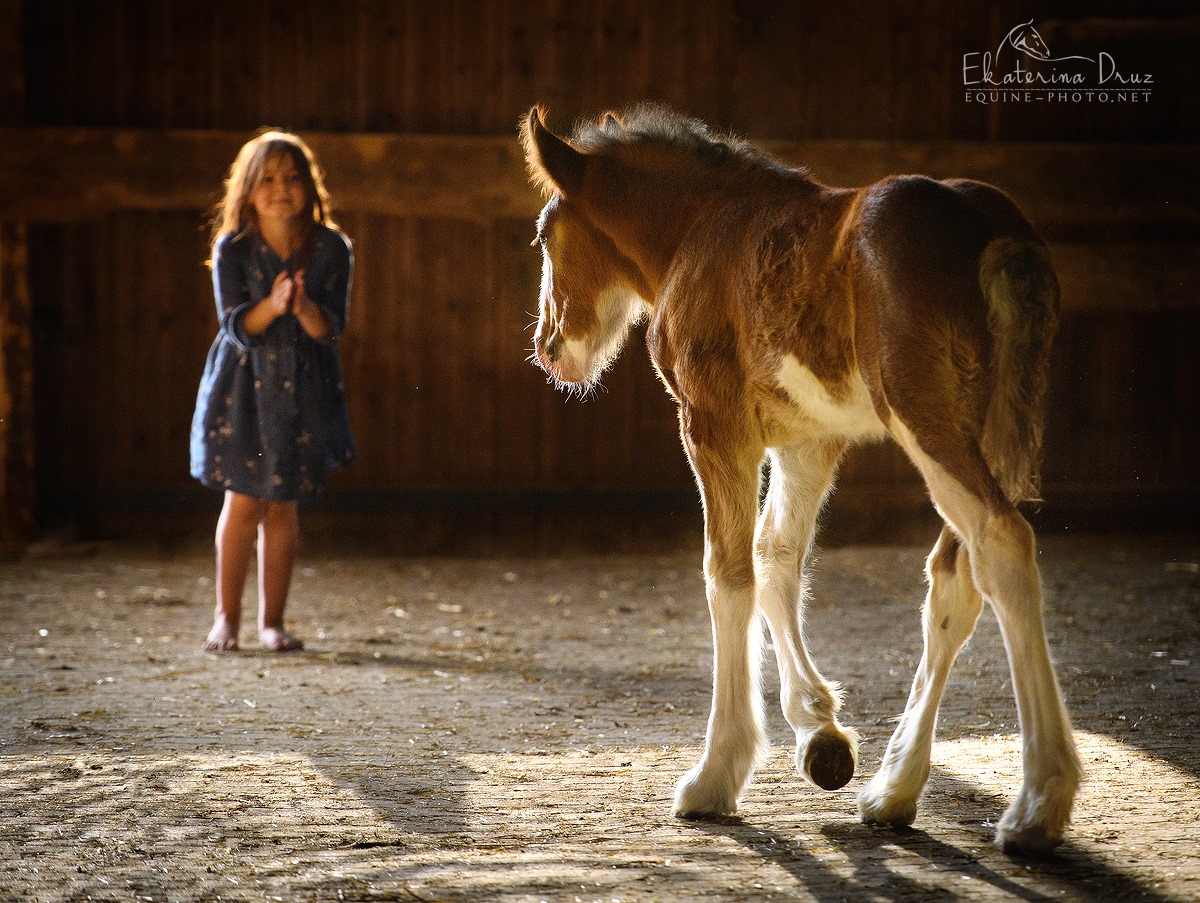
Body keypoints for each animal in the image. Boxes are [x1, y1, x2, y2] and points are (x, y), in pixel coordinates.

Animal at [520, 105, 1084, 854]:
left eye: (545, 234)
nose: (551, 349)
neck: (699, 229)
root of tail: (993, 227)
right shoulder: (809, 440)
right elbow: (777, 555)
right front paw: (820, 732)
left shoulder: (713, 425)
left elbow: (728, 572)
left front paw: (716, 774)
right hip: (987, 425)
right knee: (954, 578)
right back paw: (893, 789)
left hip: (924, 417)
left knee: (1002, 543)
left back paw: (1036, 804)